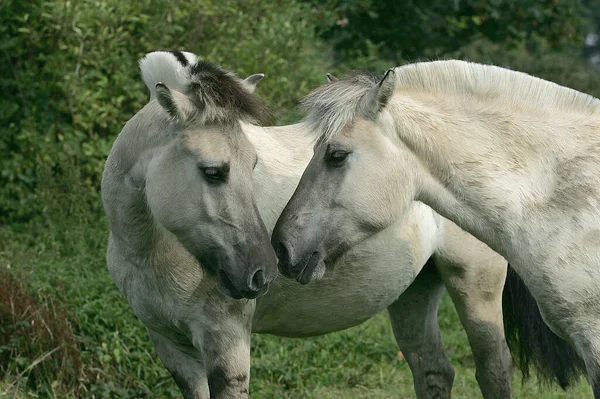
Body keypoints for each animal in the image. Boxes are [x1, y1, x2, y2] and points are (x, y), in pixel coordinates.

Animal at [102, 51, 510, 398]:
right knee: (434, 370)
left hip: (475, 284)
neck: (147, 251)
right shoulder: (170, 347)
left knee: (494, 368)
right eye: (214, 172)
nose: (261, 272)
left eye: (253, 164)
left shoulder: (225, 342)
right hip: (415, 291)